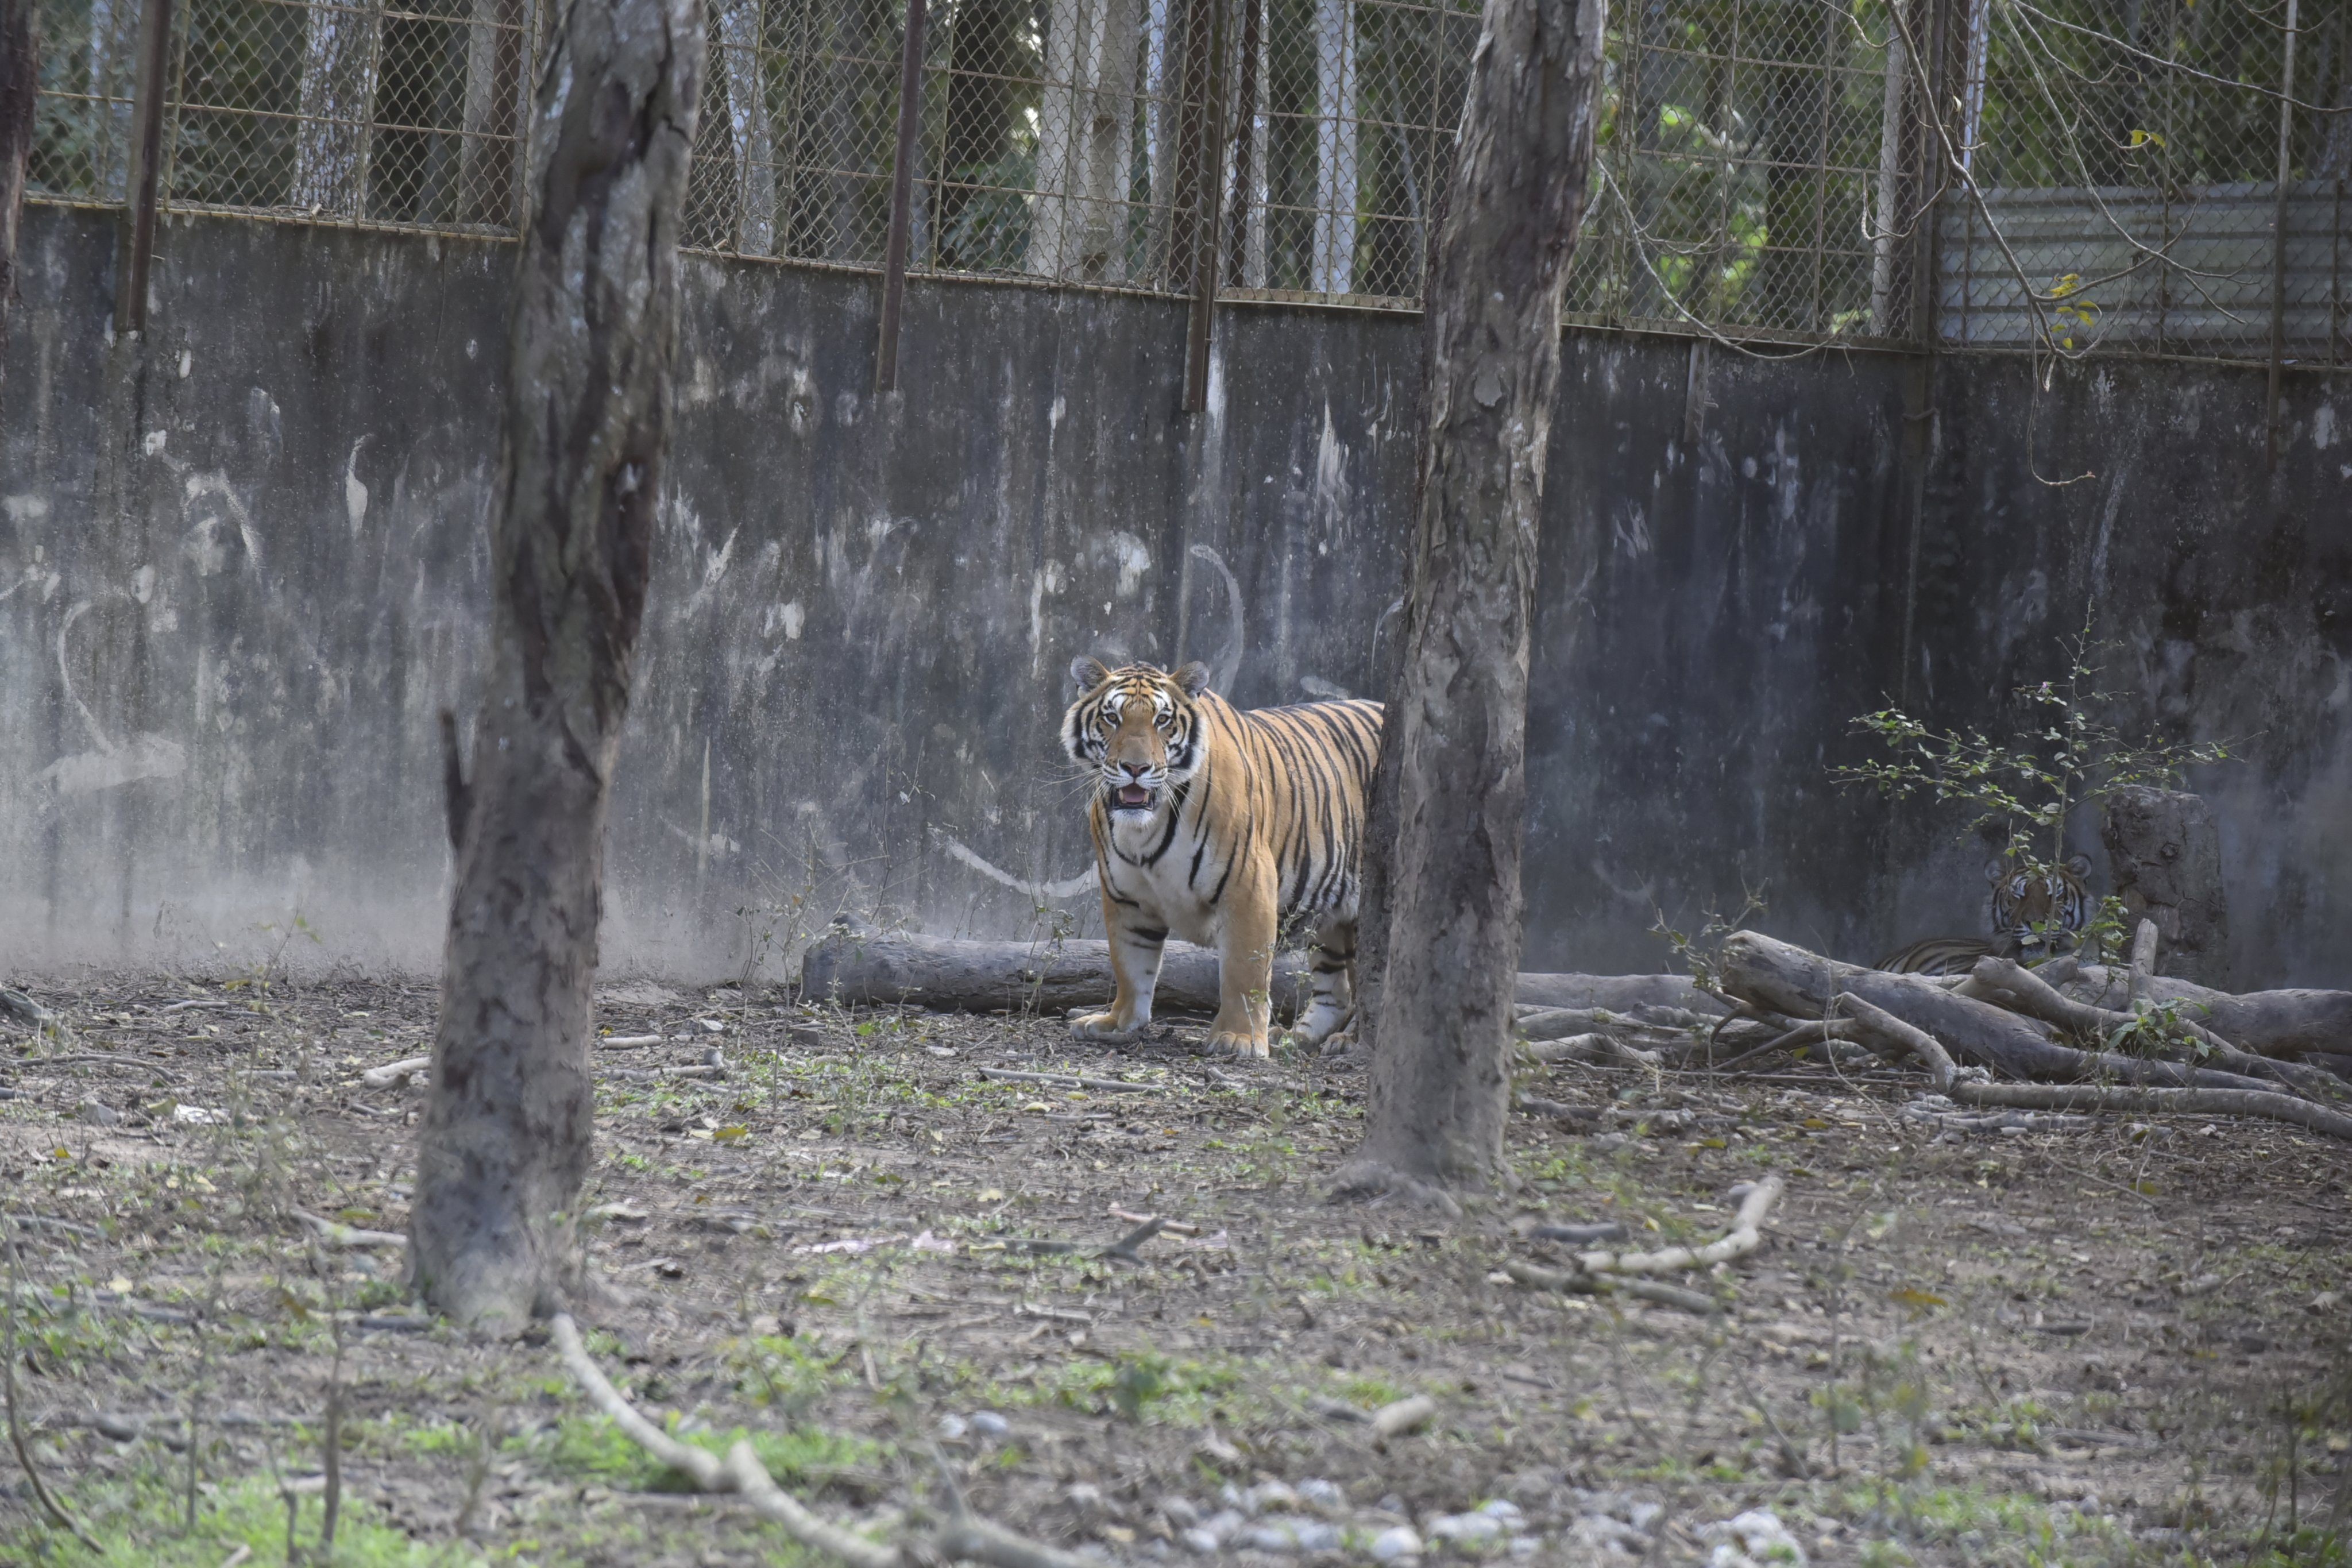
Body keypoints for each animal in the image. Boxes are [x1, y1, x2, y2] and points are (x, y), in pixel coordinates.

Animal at [1063, 658, 1382, 1063]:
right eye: (1112, 718)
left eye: (1162, 720)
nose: (1136, 768)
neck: (1145, 828)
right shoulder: (1125, 897)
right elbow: (1130, 965)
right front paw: (1117, 1023)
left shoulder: (1248, 883)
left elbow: (1243, 970)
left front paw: (1238, 1038)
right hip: (1328, 911)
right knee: (1336, 989)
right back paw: (1295, 1038)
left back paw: (1347, 1041)